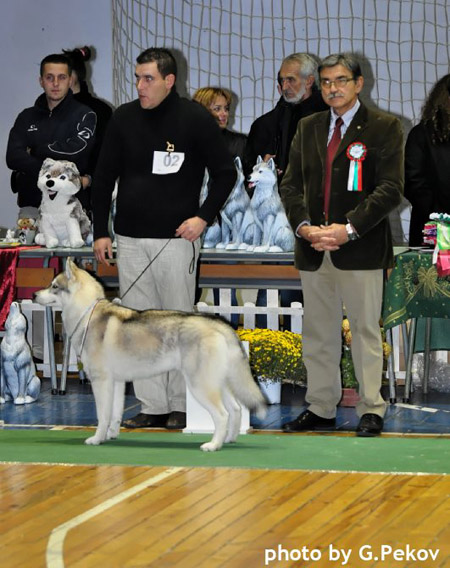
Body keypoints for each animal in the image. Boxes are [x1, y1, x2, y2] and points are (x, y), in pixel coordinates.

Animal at [37, 260, 268, 450]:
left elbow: (102, 416)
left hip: (200, 386)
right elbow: (115, 415)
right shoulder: (117, 383)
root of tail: (220, 325)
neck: (87, 313)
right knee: (236, 409)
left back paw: (213, 445)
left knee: (222, 415)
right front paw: (111, 436)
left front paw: (97, 439)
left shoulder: (100, 381)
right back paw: (229, 439)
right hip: (219, 383)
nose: (33, 295)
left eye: (54, 286)